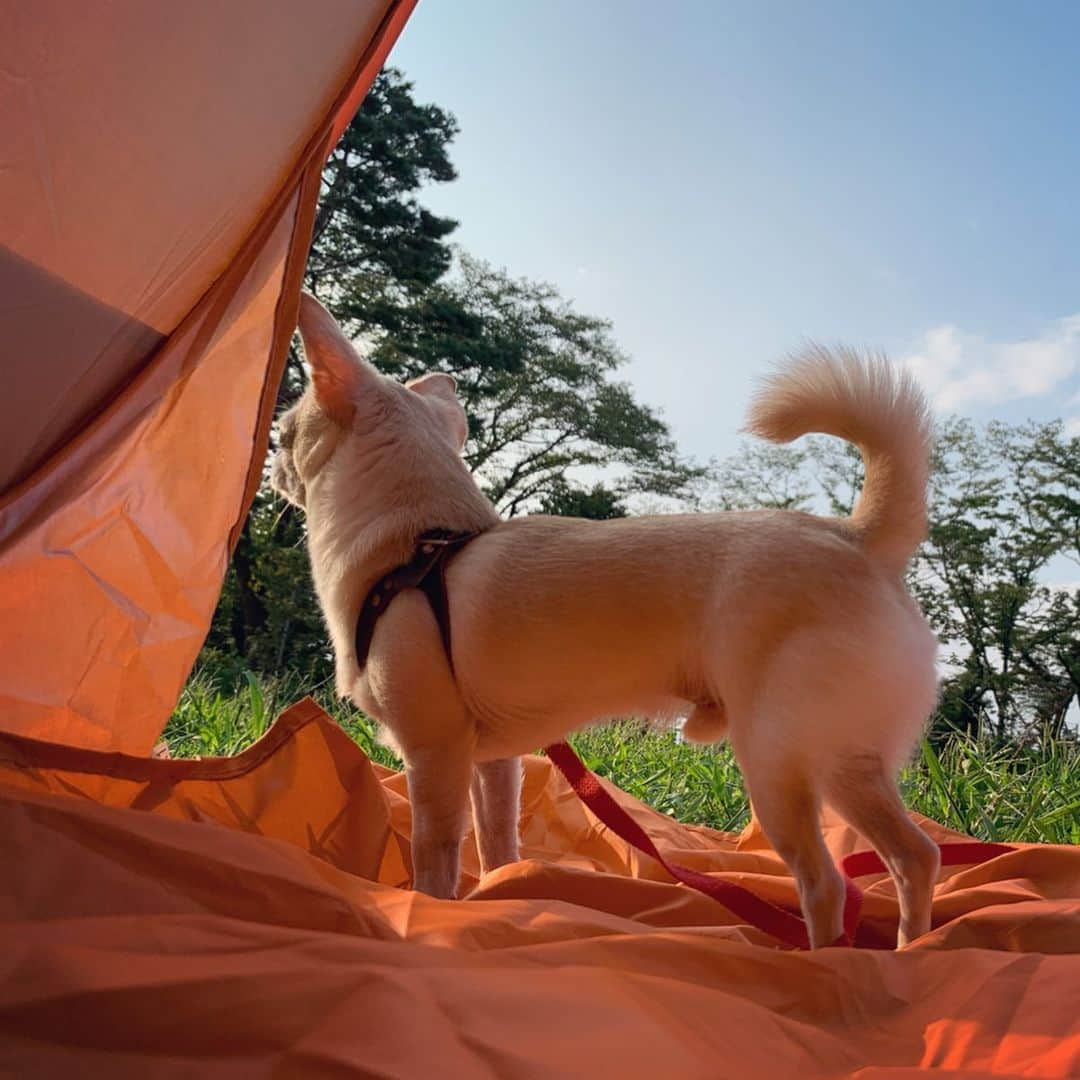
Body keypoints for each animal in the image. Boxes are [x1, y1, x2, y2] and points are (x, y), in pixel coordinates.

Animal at [274, 293, 941, 946]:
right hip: (846, 761)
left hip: (781, 763)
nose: (275, 467)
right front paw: (499, 893)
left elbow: (434, 853)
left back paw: (822, 961)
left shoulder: (432, 756)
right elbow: (496, 840)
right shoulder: (494, 761)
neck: (418, 548)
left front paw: (429, 911)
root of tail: (857, 538)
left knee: (826, 884)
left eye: (282, 434)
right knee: (916, 856)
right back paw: (910, 947)